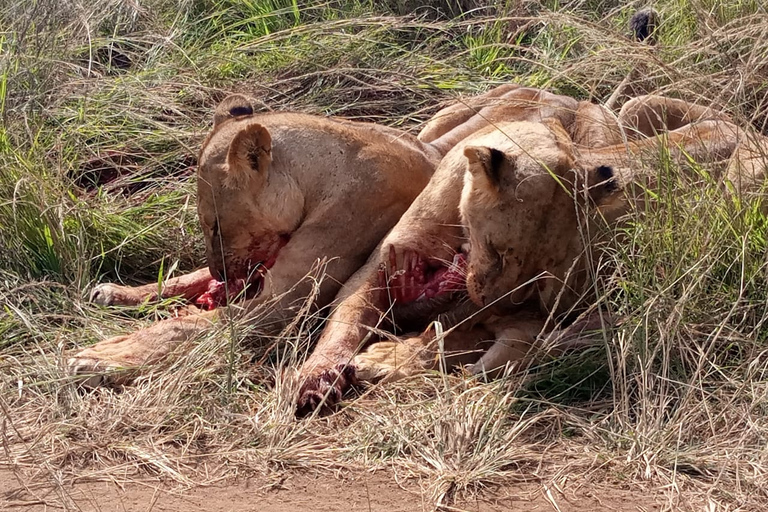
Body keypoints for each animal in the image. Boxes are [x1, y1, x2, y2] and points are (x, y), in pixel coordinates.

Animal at [296, 89, 760, 412]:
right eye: (498, 251)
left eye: (544, 274)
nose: (502, 308)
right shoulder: (380, 268)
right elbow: (347, 321)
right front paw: (317, 377)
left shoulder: (527, 310)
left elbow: (462, 342)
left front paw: (393, 356)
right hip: (632, 108)